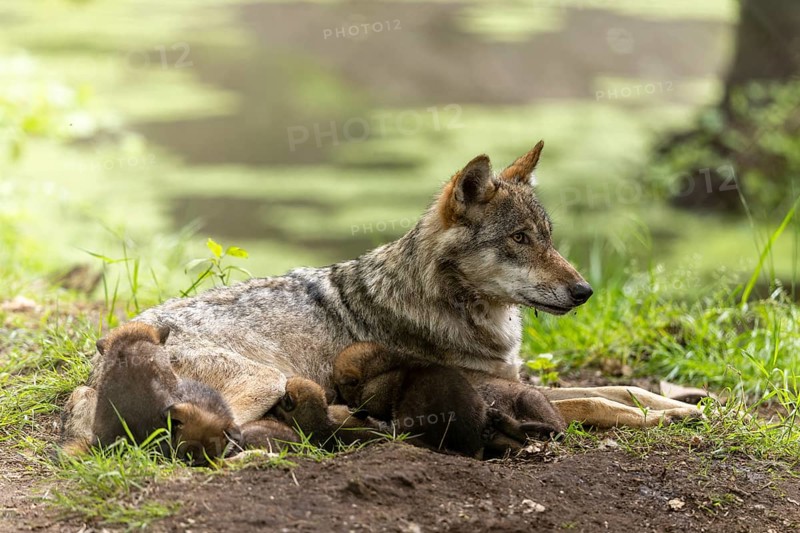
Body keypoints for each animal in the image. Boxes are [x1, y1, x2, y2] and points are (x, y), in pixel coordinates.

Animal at [63, 141, 701, 444]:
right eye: (519, 239)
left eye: (546, 237)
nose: (585, 290)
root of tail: (96, 365)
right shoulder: (492, 388)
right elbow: (599, 402)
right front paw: (654, 419)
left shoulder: (516, 380)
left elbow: (621, 386)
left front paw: (684, 405)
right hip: (262, 379)